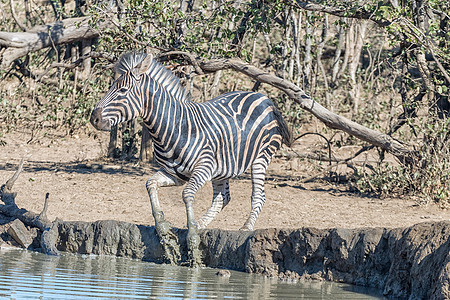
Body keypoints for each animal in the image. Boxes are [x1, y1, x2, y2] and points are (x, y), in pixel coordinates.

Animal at [90, 52, 294, 264]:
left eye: (122, 90)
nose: (93, 118)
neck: (172, 127)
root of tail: (263, 97)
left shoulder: (203, 168)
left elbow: (187, 194)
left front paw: (192, 240)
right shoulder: (174, 174)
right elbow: (150, 184)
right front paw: (164, 229)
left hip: (260, 157)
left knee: (258, 196)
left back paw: (245, 227)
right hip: (222, 168)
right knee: (222, 198)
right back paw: (201, 223)